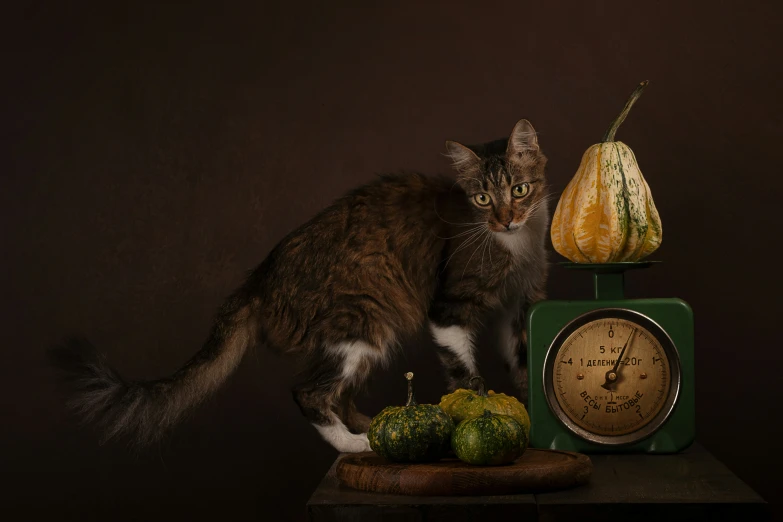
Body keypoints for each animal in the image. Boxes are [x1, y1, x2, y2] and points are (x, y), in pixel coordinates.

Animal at [49, 118, 552, 450]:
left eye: (520, 191)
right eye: (482, 199)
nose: (505, 219)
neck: (518, 244)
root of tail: (260, 276)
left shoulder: (520, 304)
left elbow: (524, 361)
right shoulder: (449, 308)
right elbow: (467, 379)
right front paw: (482, 413)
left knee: (337, 394)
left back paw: (369, 426)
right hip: (363, 319)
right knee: (308, 393)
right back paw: (357, 445)